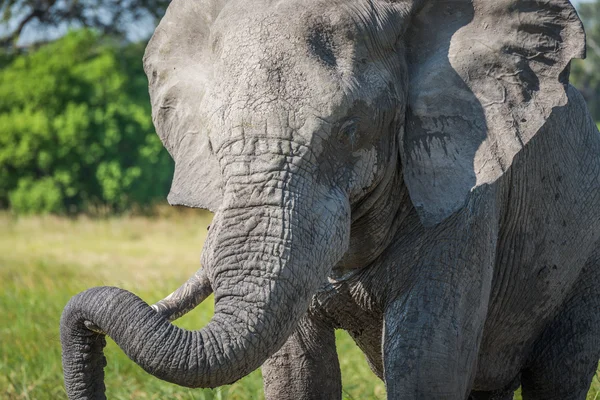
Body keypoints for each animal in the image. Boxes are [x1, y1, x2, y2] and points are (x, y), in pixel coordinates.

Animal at [59, 0, 600, 398]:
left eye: (348, 130)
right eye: (212, 144)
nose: (88, 331)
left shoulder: (466, 184)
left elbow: (426, 362)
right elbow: (297, 374)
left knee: (559, 372)